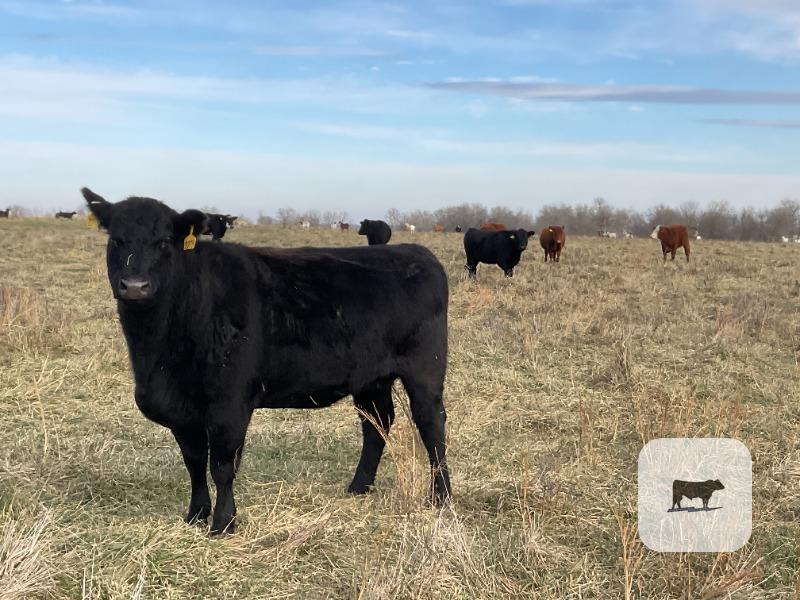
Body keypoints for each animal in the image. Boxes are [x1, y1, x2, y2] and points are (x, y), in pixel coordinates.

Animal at [81, 187, 451, 534]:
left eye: (162, 242)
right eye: (116, 240)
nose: (135, 286)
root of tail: (416, 252)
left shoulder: (230, 404)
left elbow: (222, 465)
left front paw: (223, 523)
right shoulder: (180, 410)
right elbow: (194, 463)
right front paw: (196, 515)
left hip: (425, 368)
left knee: (431, 424)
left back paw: (440, 496)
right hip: (370, 377)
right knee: (376, 423)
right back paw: (359, 486)